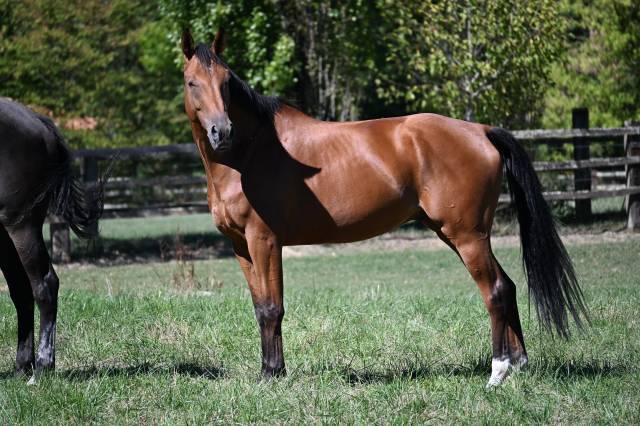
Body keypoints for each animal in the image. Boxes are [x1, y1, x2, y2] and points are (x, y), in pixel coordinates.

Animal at [0, 97, 106, 381]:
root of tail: (37, 121)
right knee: (22, 291)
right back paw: (23, 366)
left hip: (21, 226)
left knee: (45, 285)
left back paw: (42, 366)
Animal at [180, 28, 588, 388]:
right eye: (191, 82)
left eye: (226, 82)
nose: (221, 131)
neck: (249, 155)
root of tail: (480, 130)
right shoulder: (241, 246)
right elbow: (259, 305)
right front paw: (270, 371)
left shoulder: (264, 240)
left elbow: (272, 307)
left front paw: (272, 374)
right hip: (457, 234)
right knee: (509, 286)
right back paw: (518, 364)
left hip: (468, 236)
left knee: (497, 291)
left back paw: (497, 372)